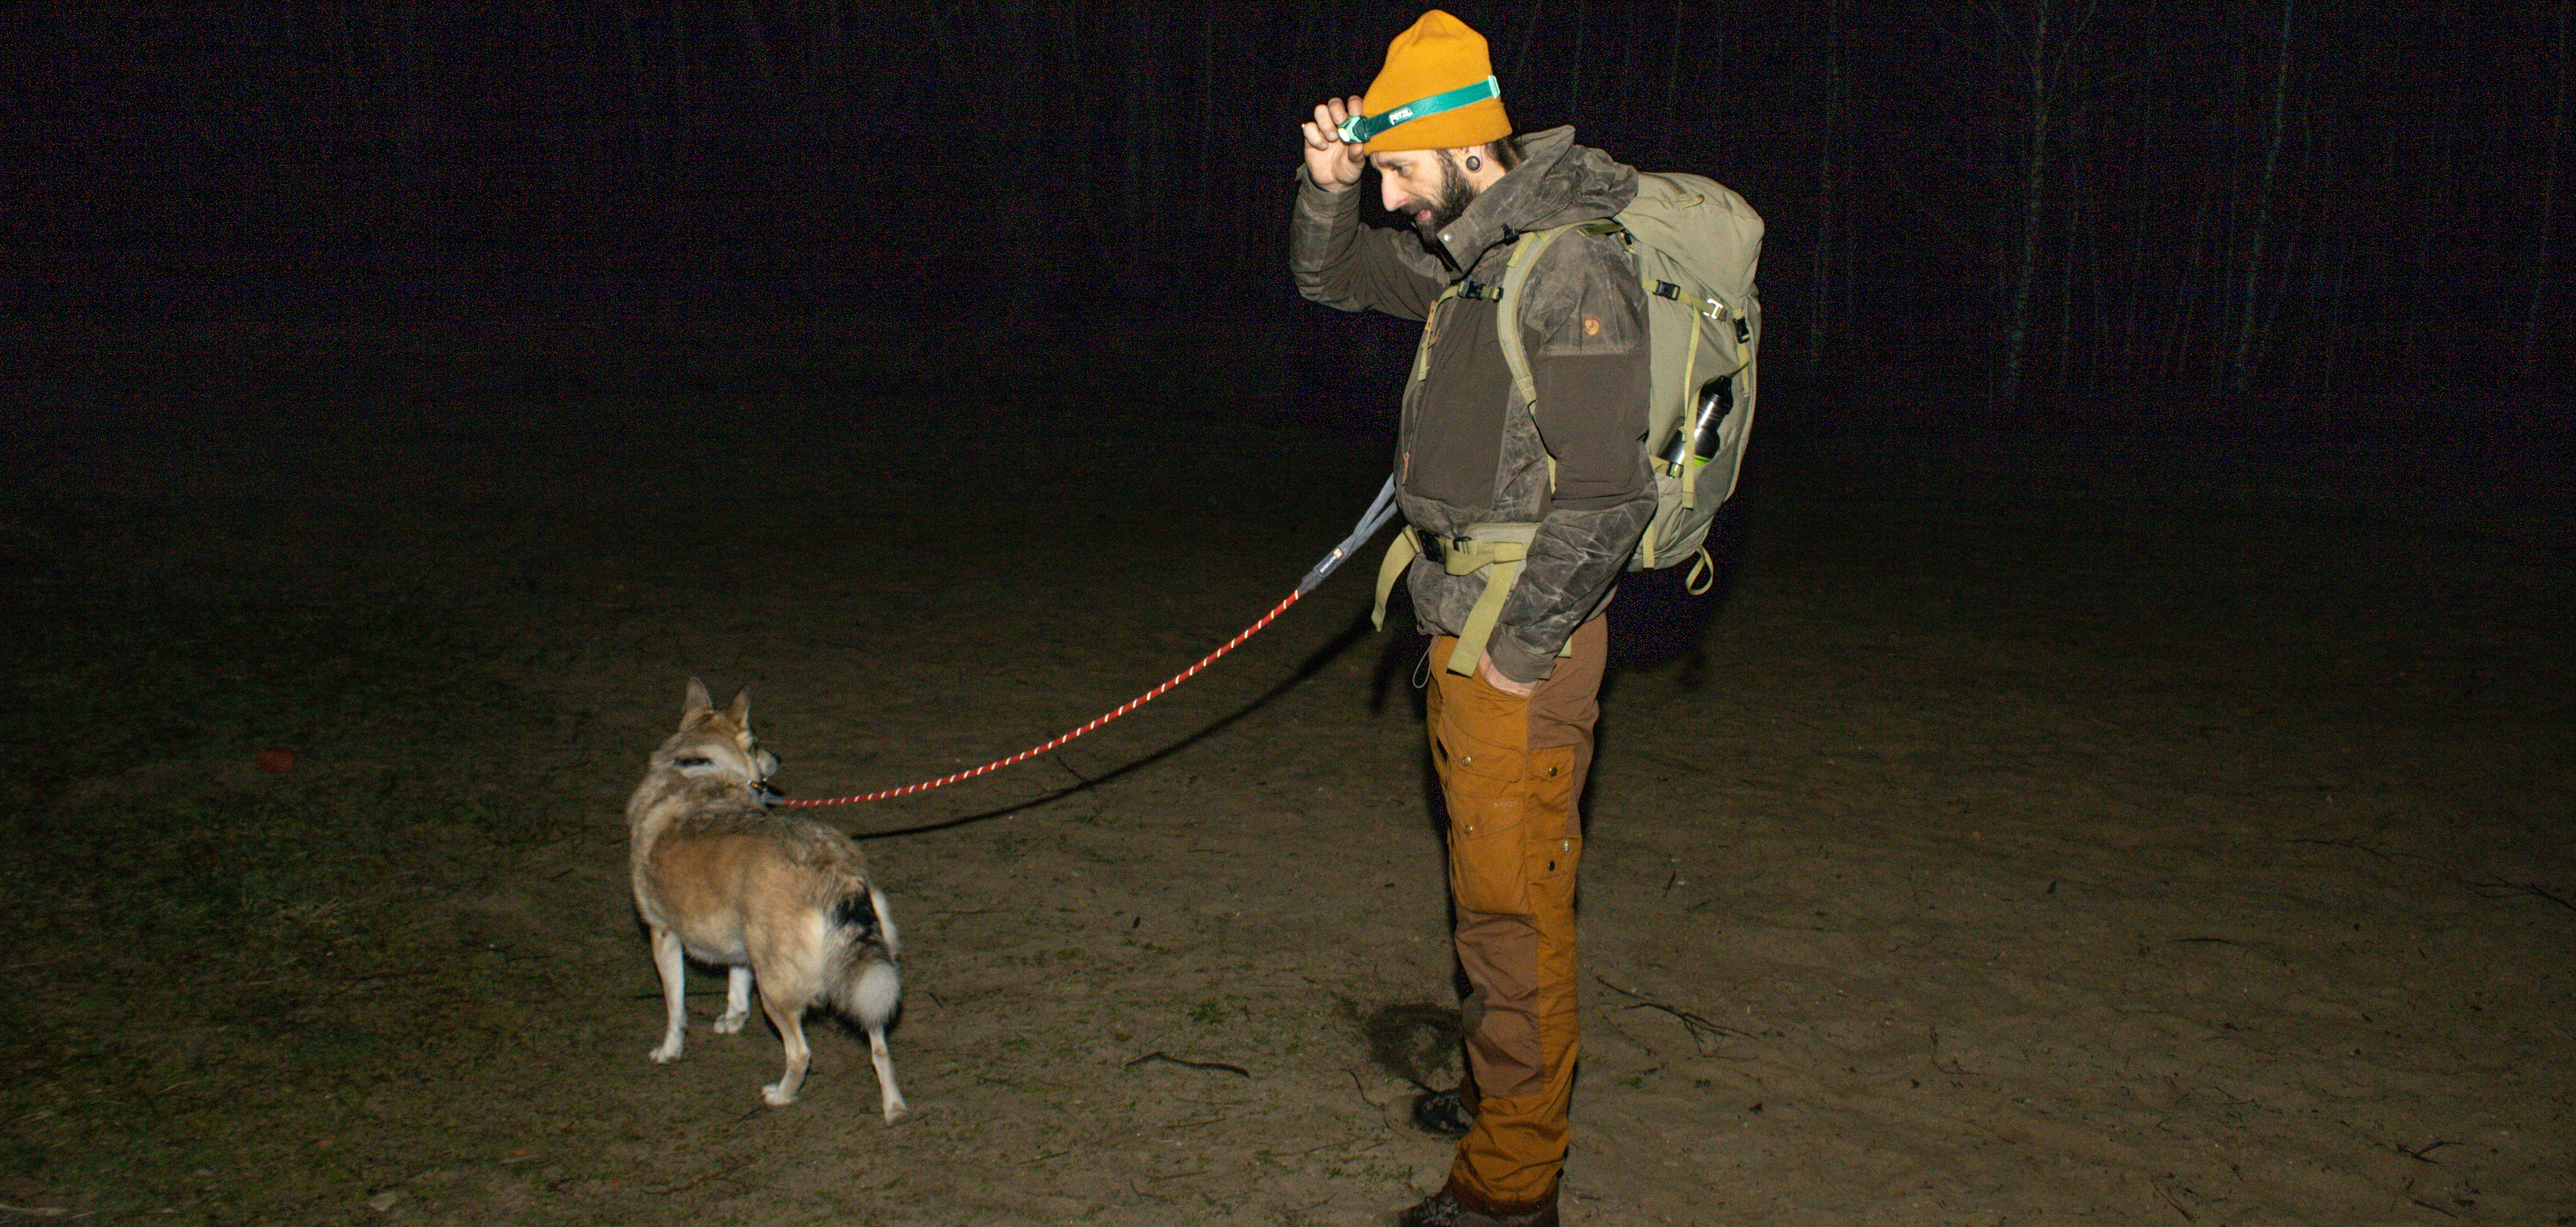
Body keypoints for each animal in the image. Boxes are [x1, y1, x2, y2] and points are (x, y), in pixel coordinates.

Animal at [623, 680, 906, 1123]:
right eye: (757, 743)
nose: (777, 758)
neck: (696, 766)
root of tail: (835, 869)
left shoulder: (662, 934)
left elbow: (675, 1008)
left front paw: (669, 1051)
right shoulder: (743, 946)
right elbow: (737, 986)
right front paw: (733, 1021)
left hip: (778, 992)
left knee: (801, 1053)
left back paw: (781, 1095)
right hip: (865, 977)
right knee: (879, 1046)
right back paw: (894, 1107)